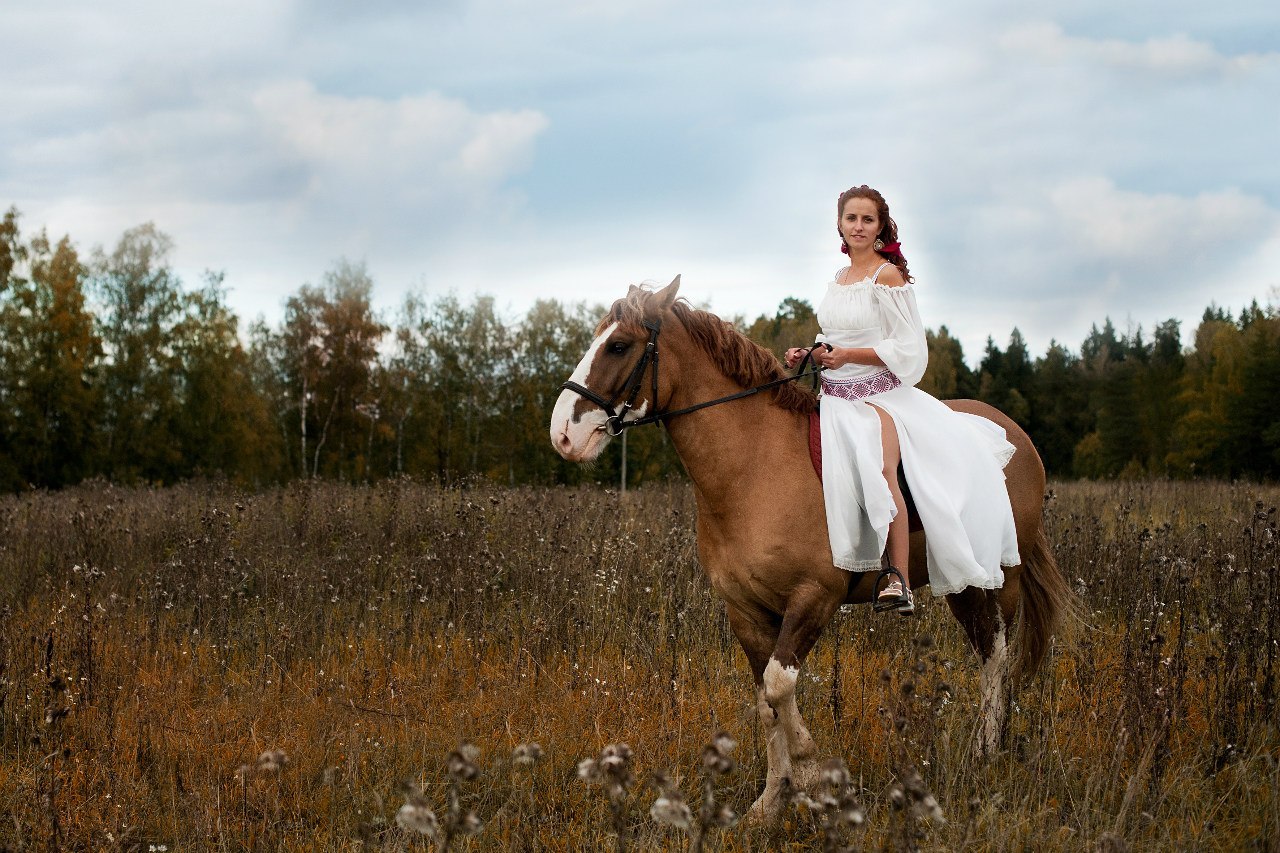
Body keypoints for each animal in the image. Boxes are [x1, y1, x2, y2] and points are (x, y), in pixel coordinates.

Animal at [547, 275, 1070, 814]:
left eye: (619, 345)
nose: (562, 433)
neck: (755, 467)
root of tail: (1015, 436)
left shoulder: (815, 597)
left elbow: (780, 687)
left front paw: (813, 776)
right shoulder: (745, 608)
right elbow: (766, 701)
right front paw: (770, 801)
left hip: (1001, 579)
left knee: (998, 659)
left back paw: (987, 753)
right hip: (961, 581)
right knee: (986, 651)